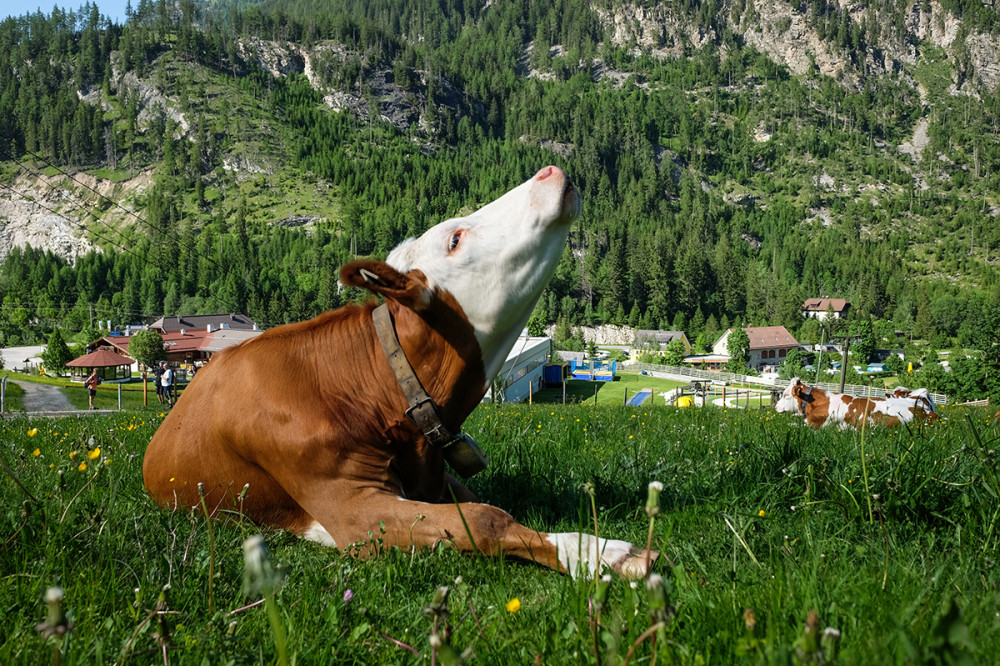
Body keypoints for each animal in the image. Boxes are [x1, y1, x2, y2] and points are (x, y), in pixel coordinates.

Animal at [141, 169, 656, 580]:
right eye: (455, 239)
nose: (550, 170)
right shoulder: (352, 510)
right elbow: (488, 517)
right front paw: (599, 554)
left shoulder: (434, 479)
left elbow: (483, 505)